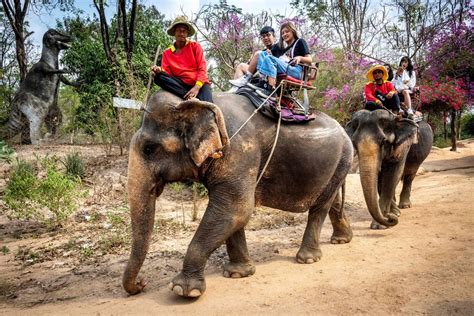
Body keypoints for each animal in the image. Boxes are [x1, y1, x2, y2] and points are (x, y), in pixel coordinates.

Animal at [124, 90, 354, 298]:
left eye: (149, 149)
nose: (142, 283)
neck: (196, 102)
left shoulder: (239, 150)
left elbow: (236, 209)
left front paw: (184, 290)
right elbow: (233, 214)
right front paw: (238, 274)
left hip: (344, 156)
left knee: (320, 207)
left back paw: (308, 259)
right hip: (338, 165)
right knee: (332, 200)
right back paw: (342, 240)